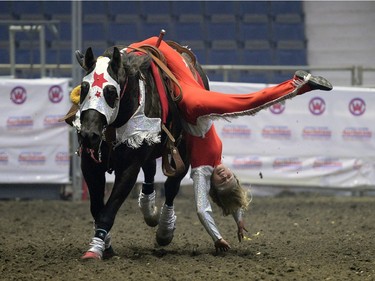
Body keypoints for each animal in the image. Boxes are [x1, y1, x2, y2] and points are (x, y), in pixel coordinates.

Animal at [72, 41, 209, 258]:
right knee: (151, 171)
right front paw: (105, 244)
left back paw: (164, 229)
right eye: (84, 88)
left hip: (182, 150)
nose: (88, 135)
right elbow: (96, 208)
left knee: (172, 186)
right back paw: (149, 209)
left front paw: (95, 248)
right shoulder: (90, 165)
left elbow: (108, 211)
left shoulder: (129, 167)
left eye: (110, 91)